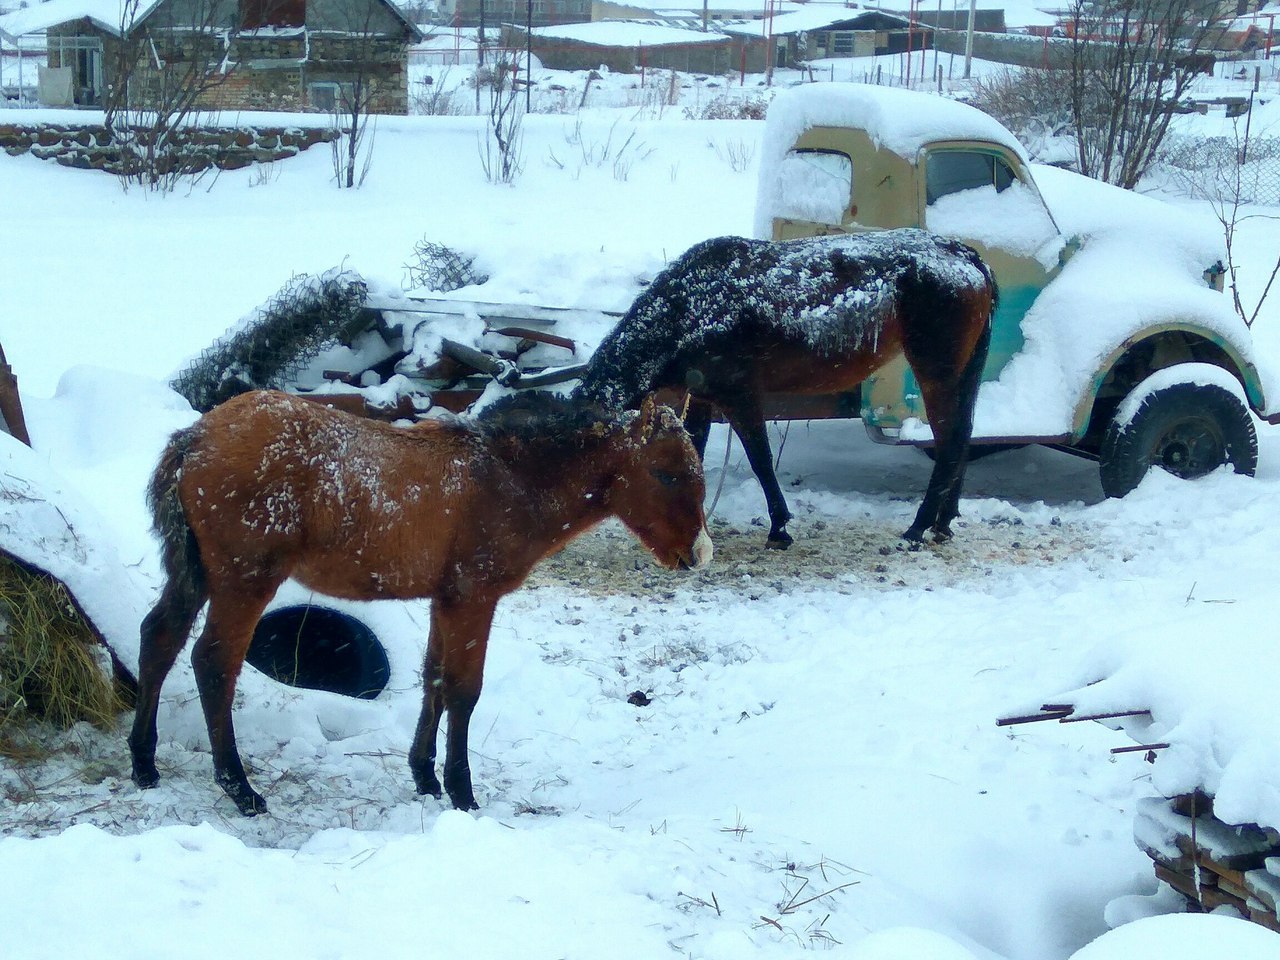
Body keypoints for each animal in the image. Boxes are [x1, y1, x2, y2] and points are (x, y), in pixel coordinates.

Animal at [128, 391, 711, 819]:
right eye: (666, 474)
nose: (699, 554)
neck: (508, 478)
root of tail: (195, 437)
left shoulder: (444, 599)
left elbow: (433, 679)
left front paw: (424, 776)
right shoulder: (474, 597)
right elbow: (463, 690)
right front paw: (462, 792)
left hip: (196, 574)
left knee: (159, 637)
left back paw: (144, 763)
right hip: (244, 580)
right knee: (213, 662)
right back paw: (240, 788)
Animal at [573, 227, 998, 547]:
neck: (691, 309)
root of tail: (966, 255)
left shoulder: (740, 395)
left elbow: (761, 460)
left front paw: (779, 526)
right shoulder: (703, 399)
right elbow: (693, 454)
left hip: (936, 369)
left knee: (950, 439)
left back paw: (918, 527)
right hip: (962, 371)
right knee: (961, 434)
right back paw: (943, 522)